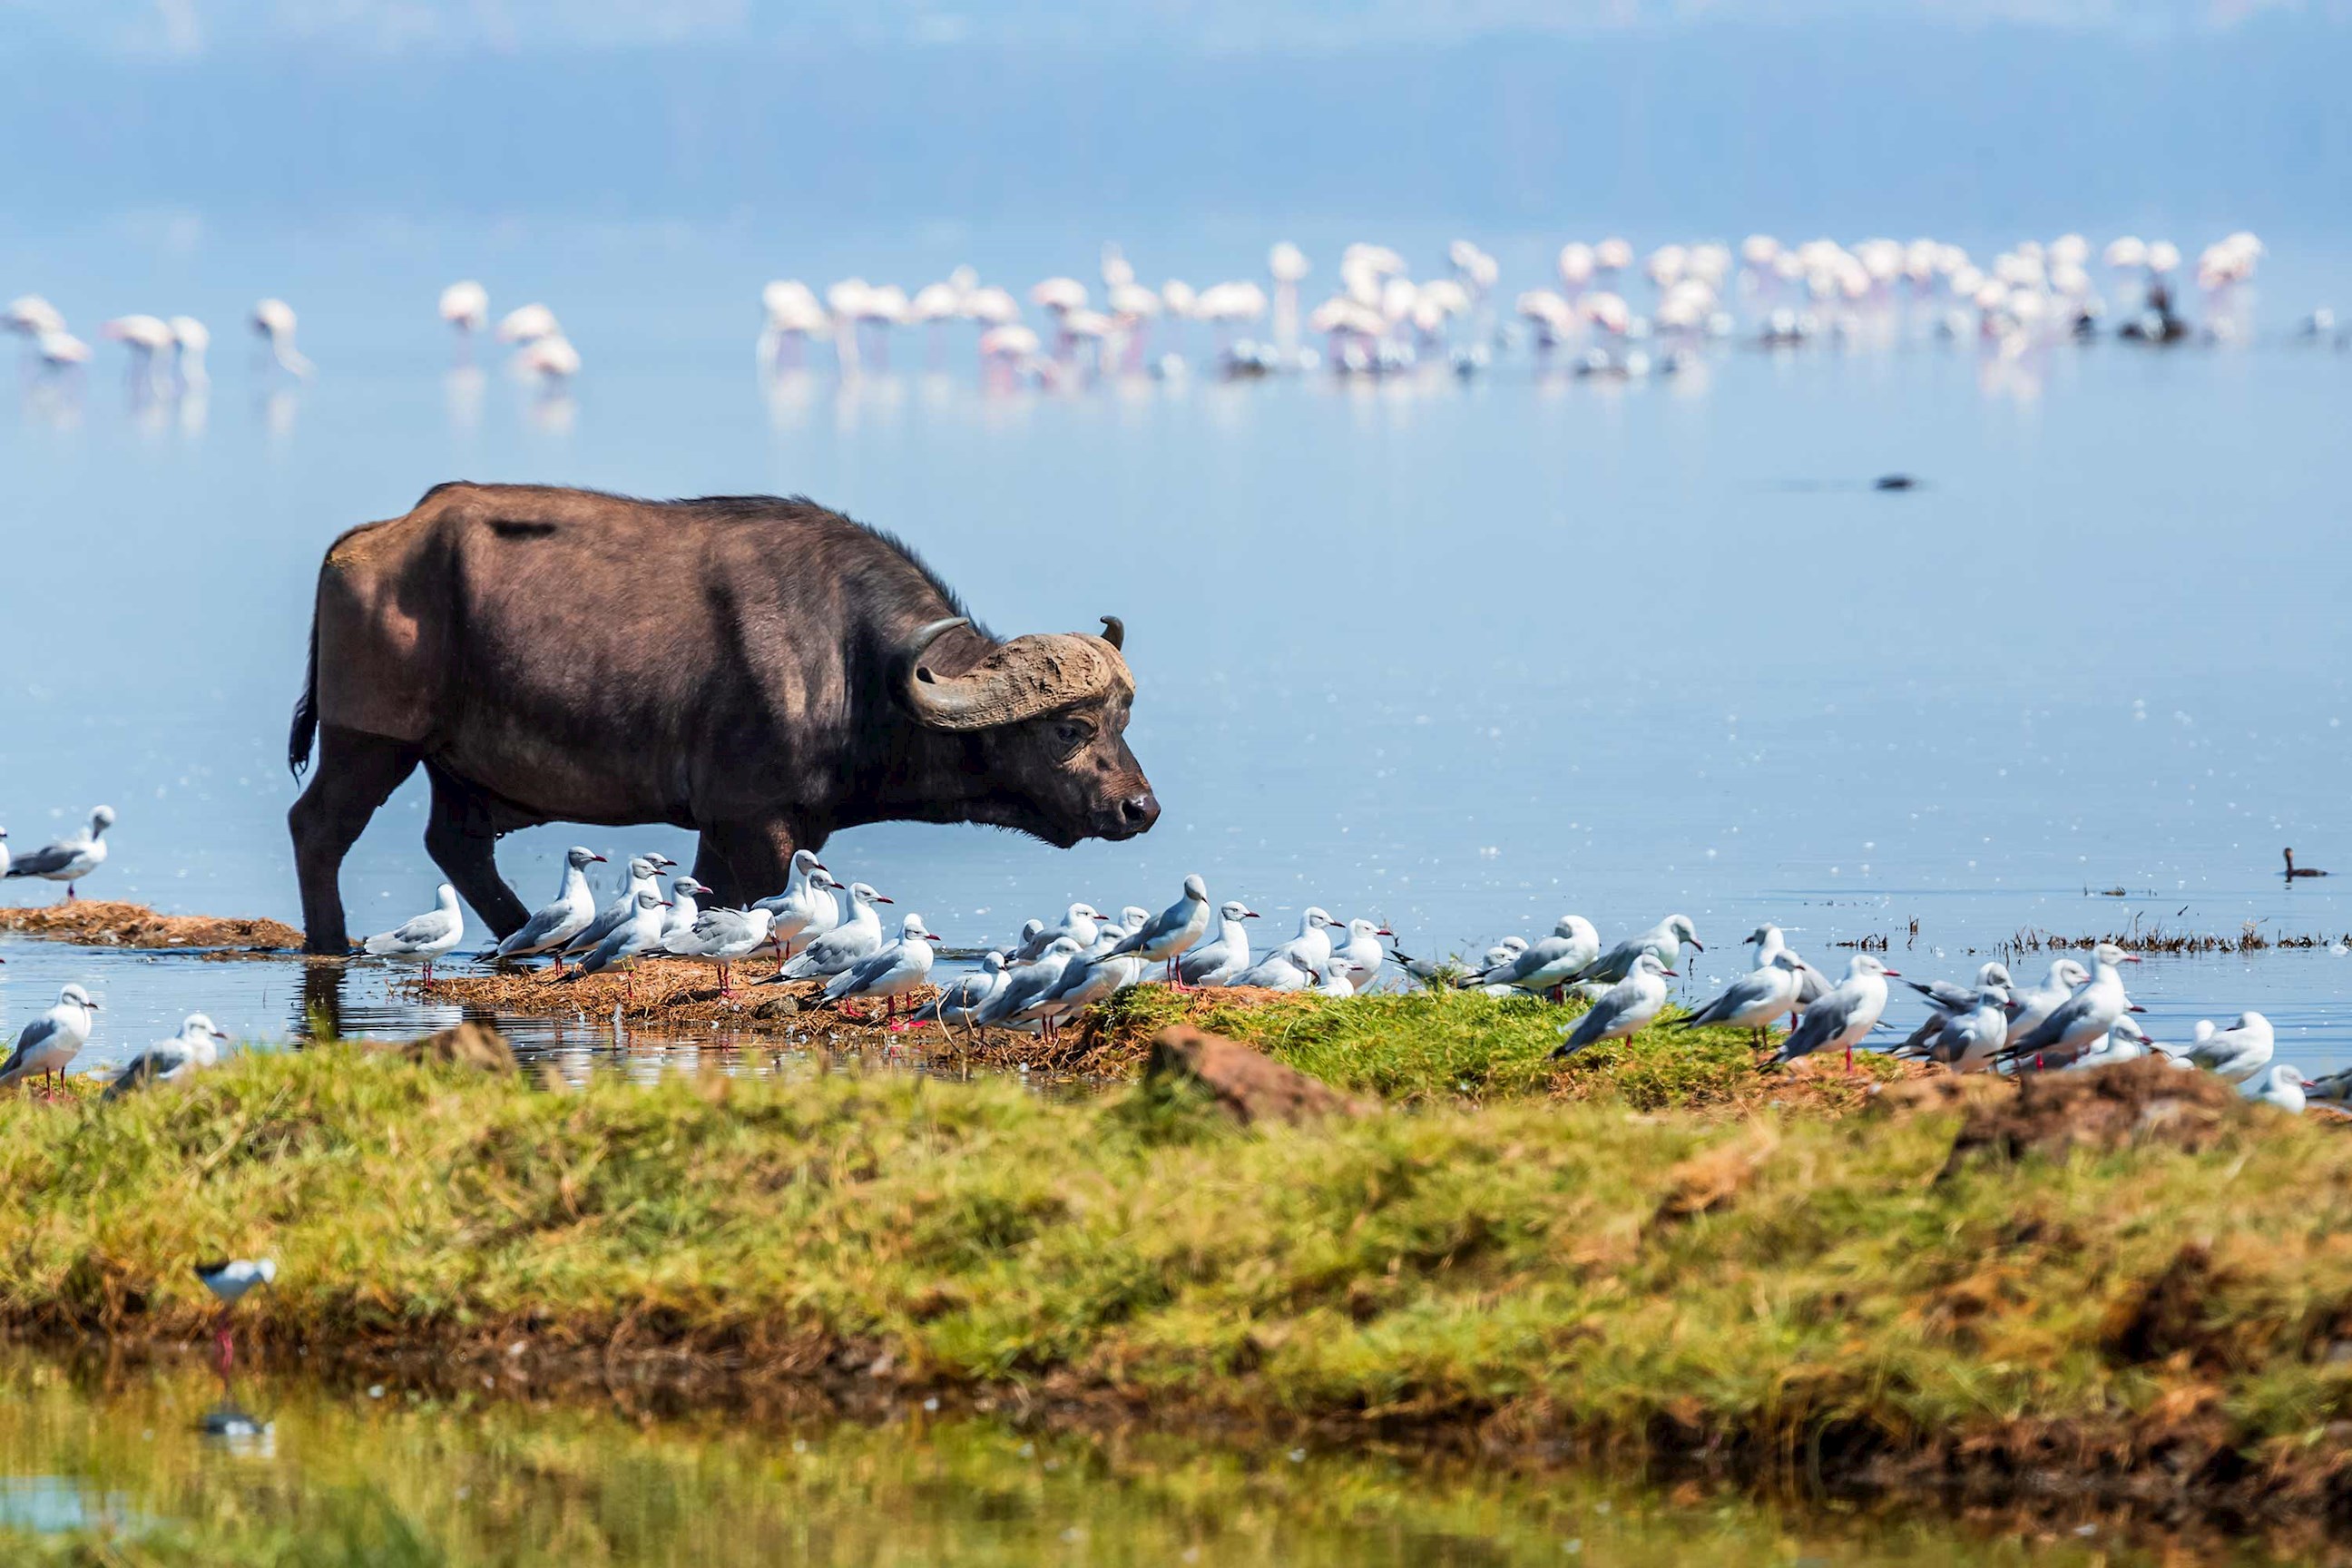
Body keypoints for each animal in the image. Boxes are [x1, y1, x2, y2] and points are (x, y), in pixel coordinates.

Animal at [288, 483, 1157, 955]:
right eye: (1070, 729)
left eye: (1122, 720)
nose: (1140, 809)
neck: (854, 661)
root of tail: (370, 542)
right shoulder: (754, 817)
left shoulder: (740, 826)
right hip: (371, 741)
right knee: (319, 826)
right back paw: (331, 940)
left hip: (453, 766)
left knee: (458, 844)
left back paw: (523, 932)